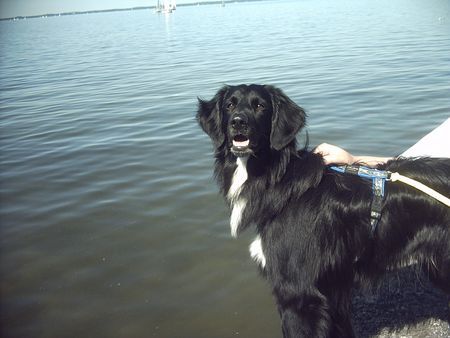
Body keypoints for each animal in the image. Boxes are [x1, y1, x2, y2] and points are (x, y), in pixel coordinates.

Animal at [198, 84, 450, 336]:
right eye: (229, 105)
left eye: (260, 106)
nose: (238, 122)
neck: (280, 180)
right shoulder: (333, 293)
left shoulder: (299, 295)